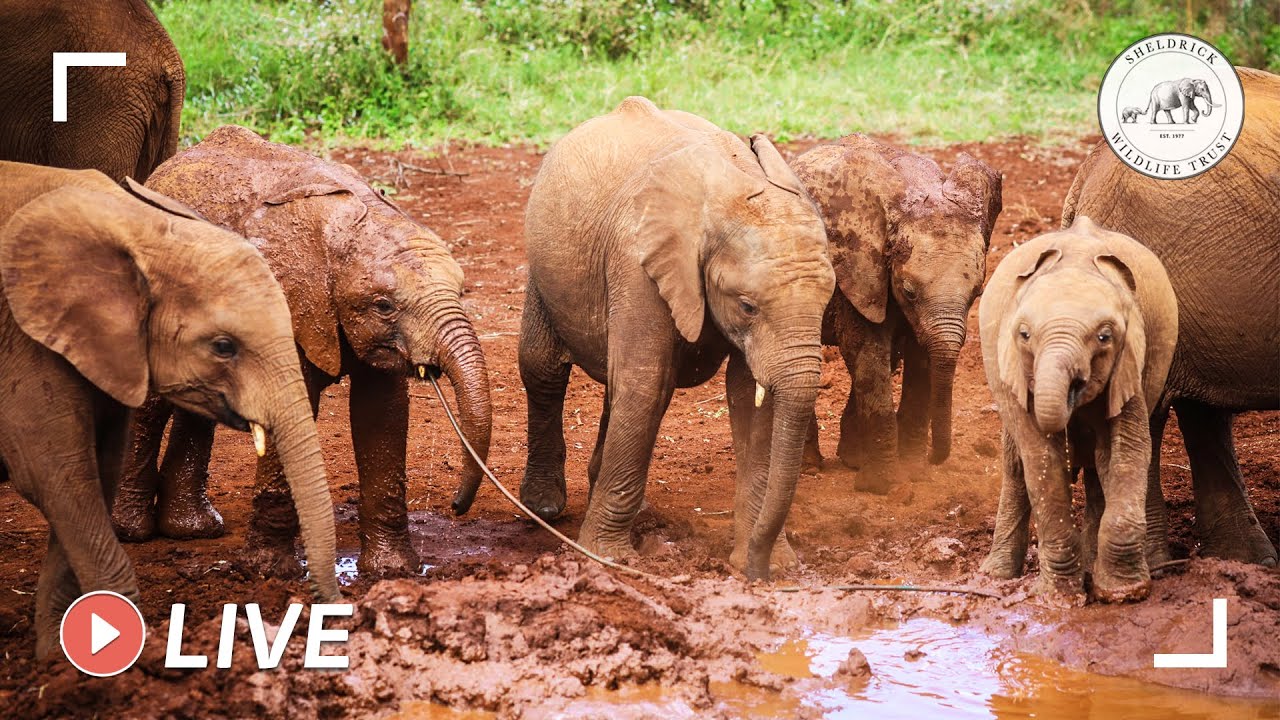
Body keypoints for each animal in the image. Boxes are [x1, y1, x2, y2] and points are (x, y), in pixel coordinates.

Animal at [0, 161, 339, 657]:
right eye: (223, 347)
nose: (328, 605)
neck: (143, 227)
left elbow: (95, 472)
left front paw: (56, 662)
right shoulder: (23, 340)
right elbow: (56, 476)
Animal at [109, 126, 493, 579]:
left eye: (461, 291)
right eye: (383, 305)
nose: (456, 506)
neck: (350, 230)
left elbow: (383, 414)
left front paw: (393, 572)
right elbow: (292, 406)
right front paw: (268, 573)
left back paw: (193, 531)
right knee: (151, 403)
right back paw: (132, 532)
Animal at [518, 97, 834, 580]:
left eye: (828, 300)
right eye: (747, 306)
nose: (756, 574)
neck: (728, 190)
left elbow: (751, 398)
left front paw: (774, 565)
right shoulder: (637, 262)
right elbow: (646, 383)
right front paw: (610, 559)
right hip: (542, 267)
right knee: (543, 369)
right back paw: (544, 508)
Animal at [790, 135, 1001, 492]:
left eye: (977, 294)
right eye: (909, 291)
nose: (935, 457)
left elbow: (920, 359)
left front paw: (914, 472)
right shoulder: (856, 271)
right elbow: (867, 353)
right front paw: (883, 487)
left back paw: (852, 459)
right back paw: (810, 467)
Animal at [977, 217, 1177, 601]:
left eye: (1104, 337)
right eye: (1024, 335)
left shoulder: (1130, 363)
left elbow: (1126, 450)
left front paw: (1123, 593)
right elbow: (1041, 460)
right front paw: (1061, 600)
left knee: (1100, 470)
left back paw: (1091, 568)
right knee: (1015, 467)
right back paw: (996, 576)